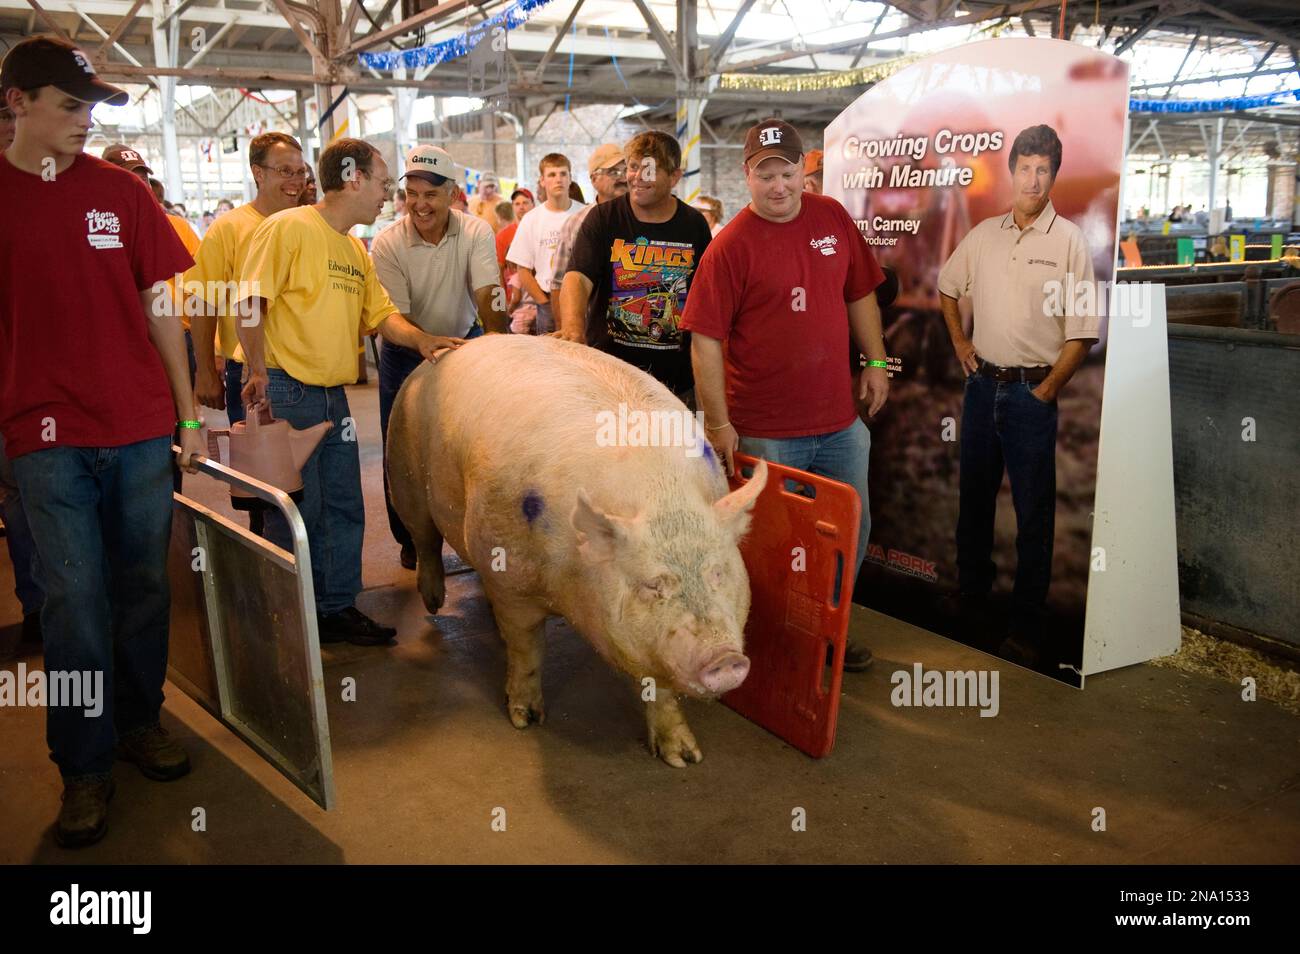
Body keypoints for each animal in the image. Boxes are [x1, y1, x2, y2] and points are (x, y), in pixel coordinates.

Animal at [390, 335, 764, 769]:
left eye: (718, 573)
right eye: (652, 586)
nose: (725, 659)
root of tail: (440, 356)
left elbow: (661, 686)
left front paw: (685, 758)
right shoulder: (513, 582)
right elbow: (527, 648)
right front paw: (525, 720)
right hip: (403, 474)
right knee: (424, 539)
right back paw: (434, 604)